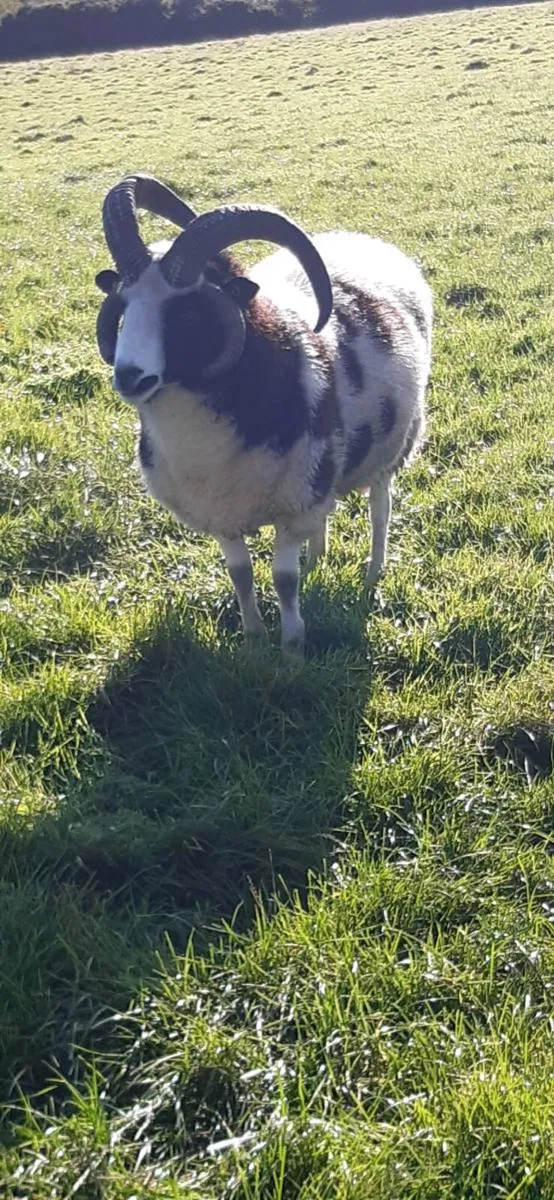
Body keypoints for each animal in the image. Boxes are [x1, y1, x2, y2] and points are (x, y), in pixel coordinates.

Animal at [95, 174, 432, 653]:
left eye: (189, 312)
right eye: (122, 306)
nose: (129, 376)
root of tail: (361, 240)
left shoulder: (293, 505)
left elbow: (283, 580)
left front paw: (292, 646)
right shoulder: (224, 513)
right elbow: (241, 574)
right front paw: (254, 636)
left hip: (392, 449)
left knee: (380, 509)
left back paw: (372, 574)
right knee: (326, 517)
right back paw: (317, 561)